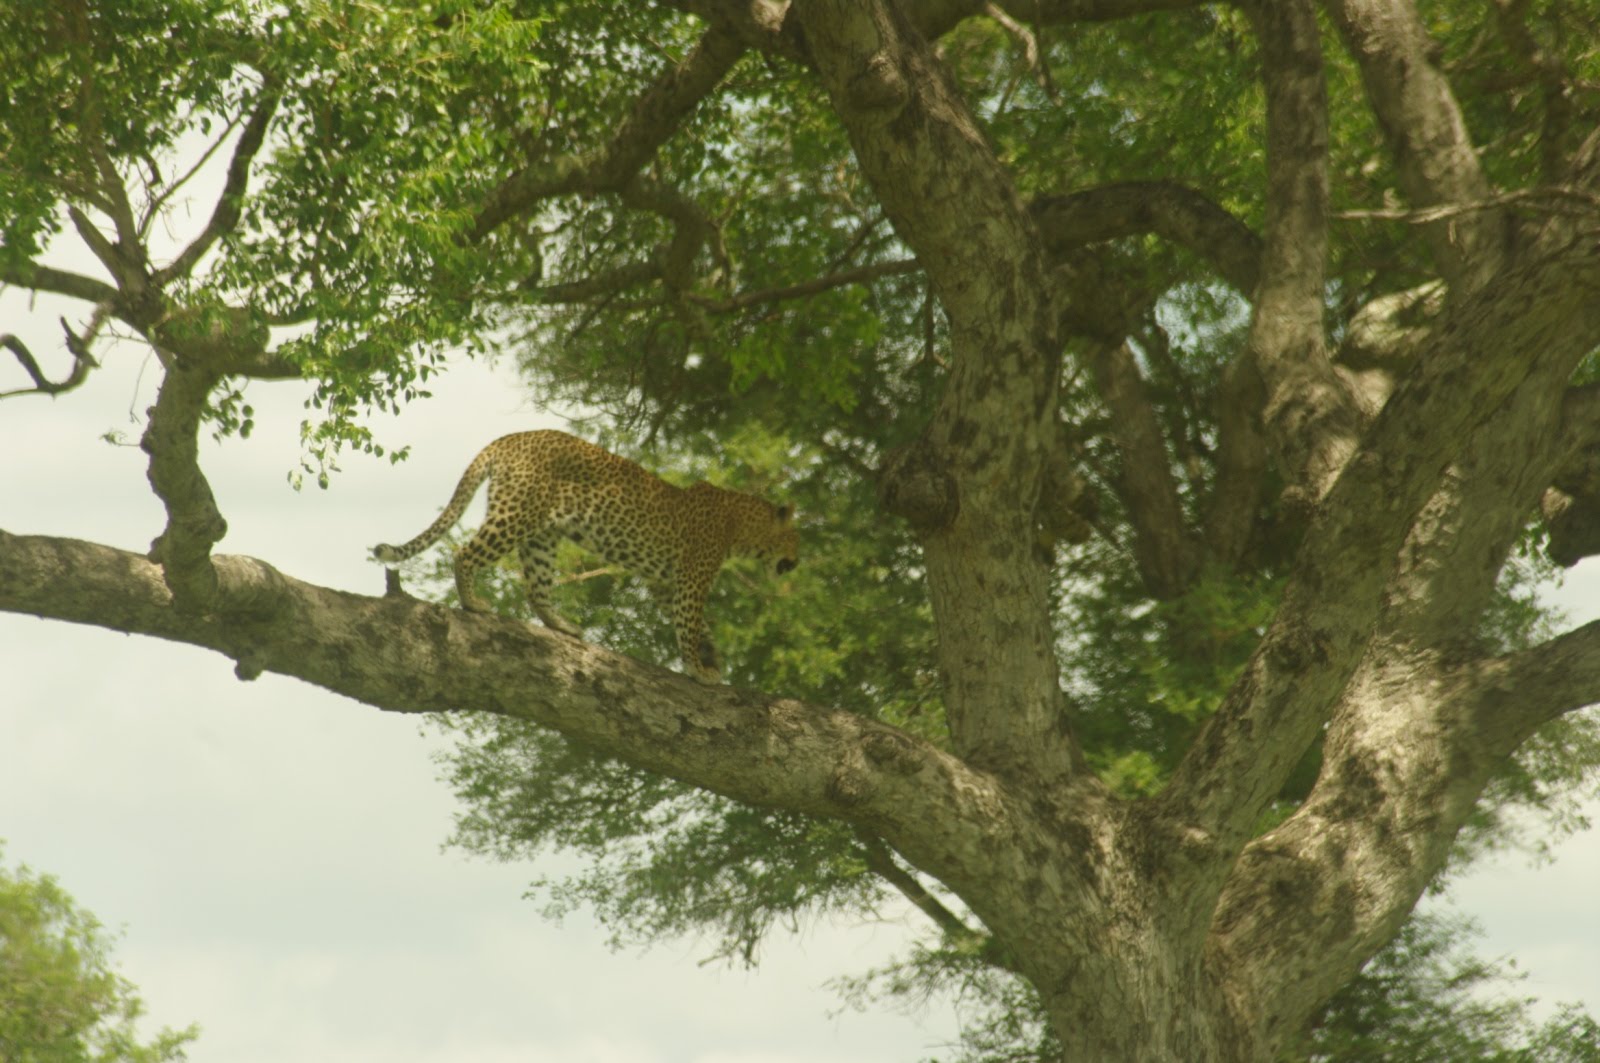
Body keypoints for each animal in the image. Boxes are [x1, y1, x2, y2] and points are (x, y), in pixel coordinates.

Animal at [372, 429, 798, 683]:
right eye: (796, 536)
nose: (797, 561)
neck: (740, 526)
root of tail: (509, 438)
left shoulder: (665, 581)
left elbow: (696, 625)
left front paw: (711, 659)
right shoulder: (692, 578)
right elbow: (690, 623)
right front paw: (697, 668)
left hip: (541, 535)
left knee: (536, 588)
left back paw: (562, 626)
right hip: (517, 516)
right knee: (464, 553)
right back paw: (473, 602)